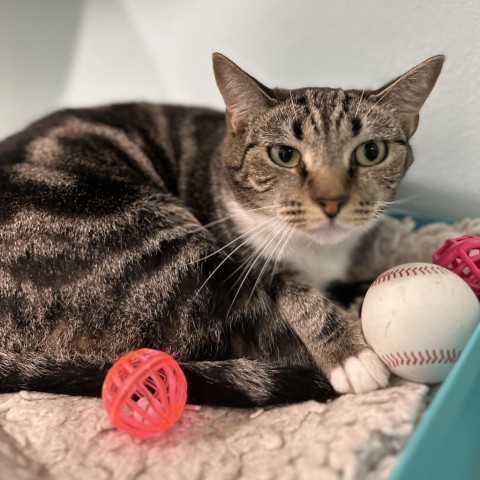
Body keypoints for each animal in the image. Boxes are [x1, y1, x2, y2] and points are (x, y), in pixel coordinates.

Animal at [0, 53, 444, 404]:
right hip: (170, 257)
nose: (331, 201)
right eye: (284, 155)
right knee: (266, 340)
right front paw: (351, 353)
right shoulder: (247, 265)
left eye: (371, 152)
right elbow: (294, 293)